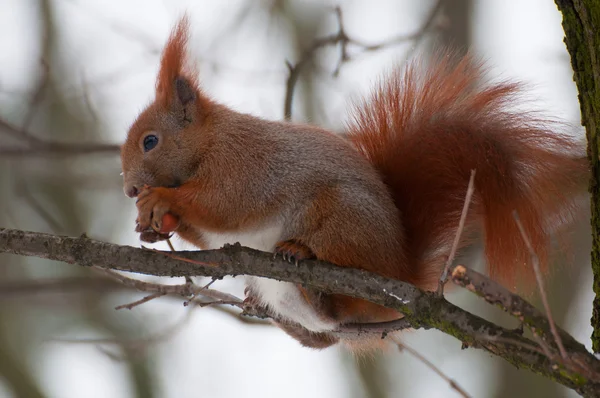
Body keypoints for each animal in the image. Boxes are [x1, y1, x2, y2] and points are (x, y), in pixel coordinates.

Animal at [119, 16, 588, 352]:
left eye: (150, 141)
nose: (129, 190)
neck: (210, 140)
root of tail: (401, 266)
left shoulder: (245, 165)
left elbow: (225, 206)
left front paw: (160, 198)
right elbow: (205, 231)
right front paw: (153, 226)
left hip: (342, 217)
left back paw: (300, 256)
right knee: (327, 332)